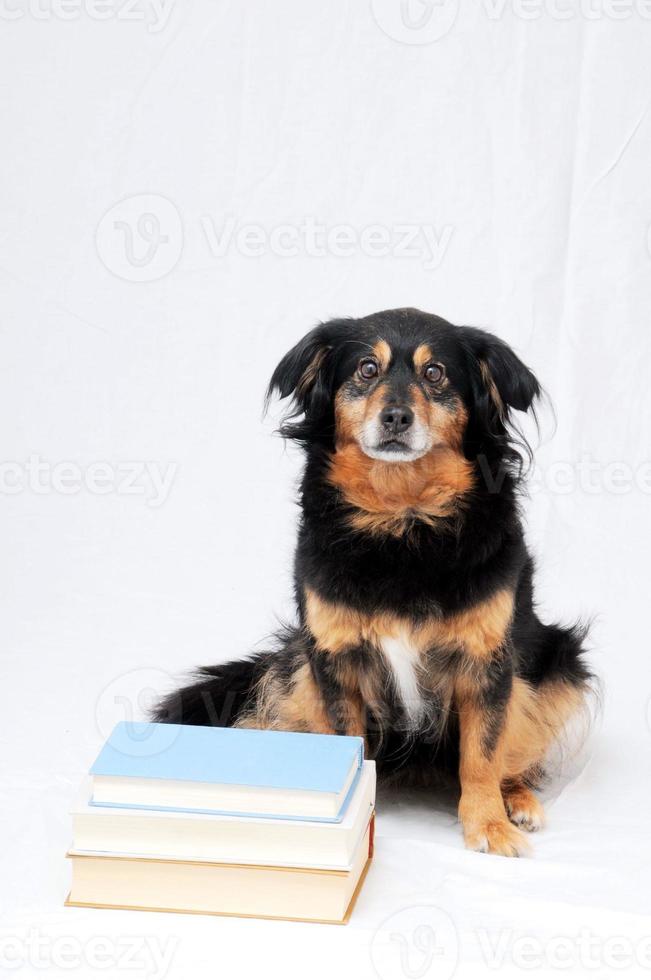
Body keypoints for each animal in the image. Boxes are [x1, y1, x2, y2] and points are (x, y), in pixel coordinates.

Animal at [155, 308, 592, 856]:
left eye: (435, 373)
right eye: (366, 369)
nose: (396, 417)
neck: (402, 521)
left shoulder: (487, 659)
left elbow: (483, 751)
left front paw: (489, 823)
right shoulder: (335, 658)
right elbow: (350, 742)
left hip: (558, 662)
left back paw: (517, 797)